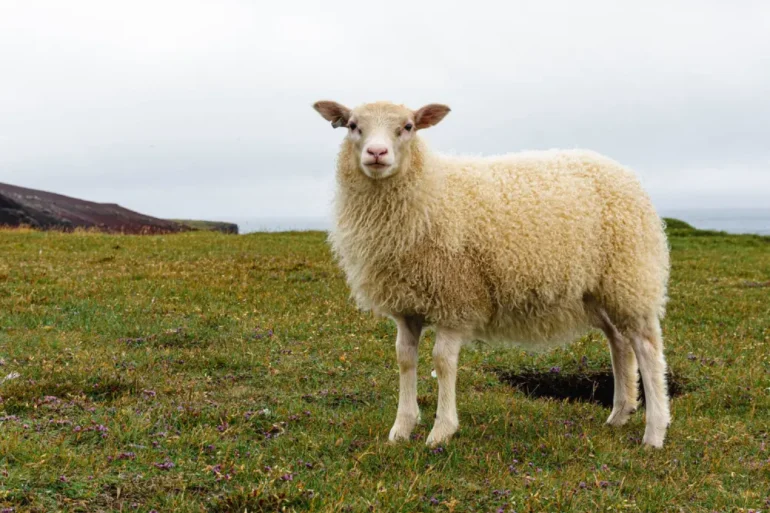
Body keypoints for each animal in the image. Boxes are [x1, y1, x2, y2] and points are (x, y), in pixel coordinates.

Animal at [308, 100, 668, 448]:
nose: (376, 153)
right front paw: (401, 428)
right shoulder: (407, 306)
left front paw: (441, 431)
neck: (429, 190)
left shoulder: (455, 298)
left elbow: (442, 362)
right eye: (352, 125)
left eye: (408, 126)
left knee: (647, 348)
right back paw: (620, 413)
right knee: (618, 341)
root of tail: (623, 173)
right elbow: (404, 359)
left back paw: (654, 432)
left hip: (630, 277)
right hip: (597, 290)